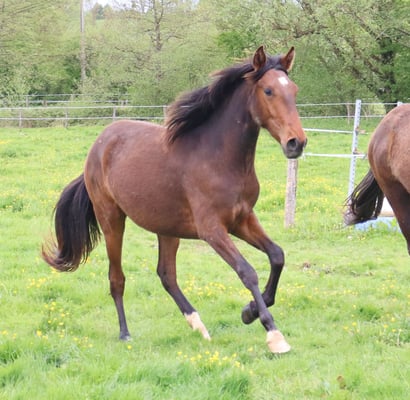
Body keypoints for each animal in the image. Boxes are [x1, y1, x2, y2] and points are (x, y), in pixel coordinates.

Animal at [42, 46, 307, 354]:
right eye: (268, 91)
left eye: (294, 91)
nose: (296, 143)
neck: (219, 159)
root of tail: (100, 144)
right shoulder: (212, 229)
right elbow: (247, 271)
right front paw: (273, 334)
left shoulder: (242, 219)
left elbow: (277, 255)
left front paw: (249, 311)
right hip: (111, 219)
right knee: (117, 278)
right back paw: (125, 333)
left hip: (167, 228)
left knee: (166, 275)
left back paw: (198, 325)